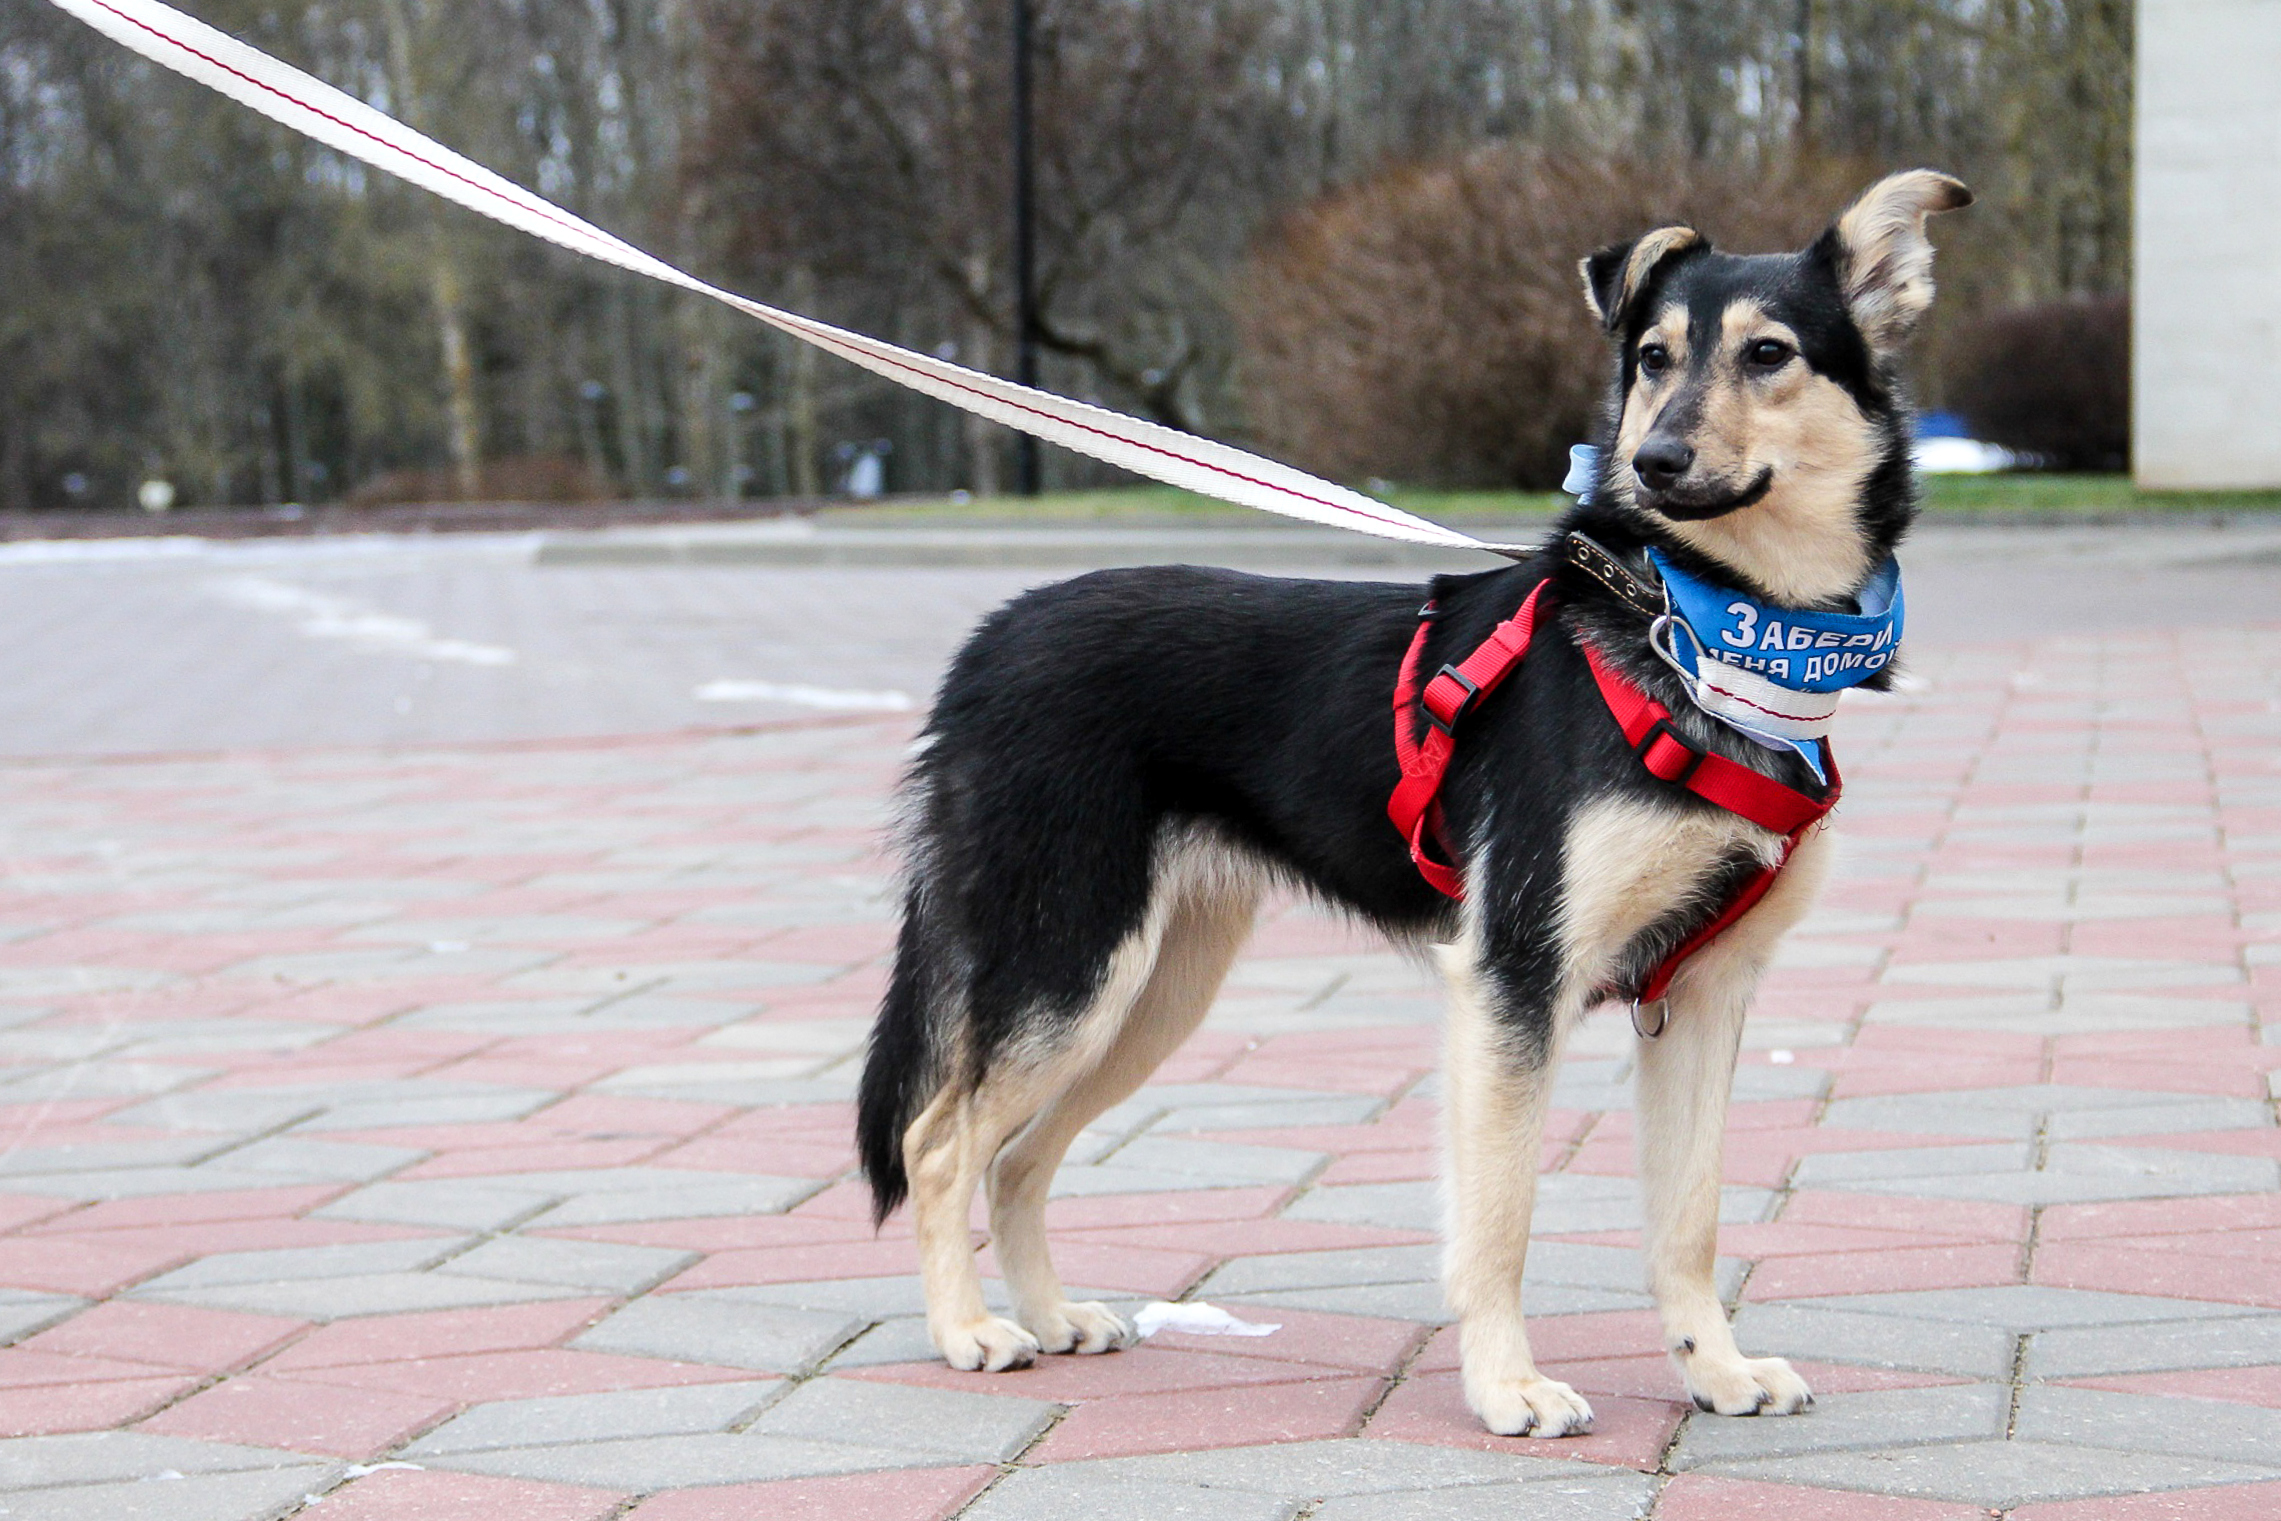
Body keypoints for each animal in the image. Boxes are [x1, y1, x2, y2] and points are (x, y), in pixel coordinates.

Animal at [857, 169, 1970, 1436]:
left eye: (1769, 353)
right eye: (1652, 357)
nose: (1655, 461)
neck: (1695, 625)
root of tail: (991, 641)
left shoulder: (1701, 996)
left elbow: (1687, 1218)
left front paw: (1714, 1369)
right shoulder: (1513, 978)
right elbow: (1499, 1220)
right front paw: (1507, 1385)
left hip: (1149, 992)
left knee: (1016, 1154)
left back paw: (1047, 1316)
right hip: (1067, 965)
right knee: (938, 1141)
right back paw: (968, 1331)